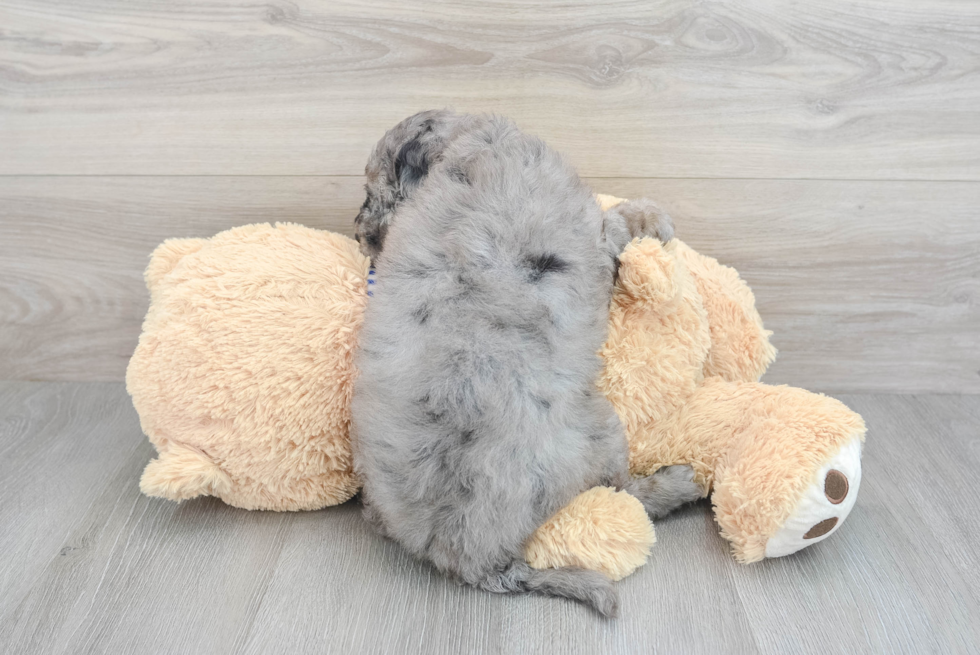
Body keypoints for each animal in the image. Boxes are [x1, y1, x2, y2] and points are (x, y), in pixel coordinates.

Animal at [348, 110, 700, 616]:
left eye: (367, 191)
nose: (360, 234)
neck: (468, 145)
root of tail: (469, 559)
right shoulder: (592, 234)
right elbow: (615, 222)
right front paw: (651, 216)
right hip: (599, 431)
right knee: (625, 492)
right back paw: (678, 484)